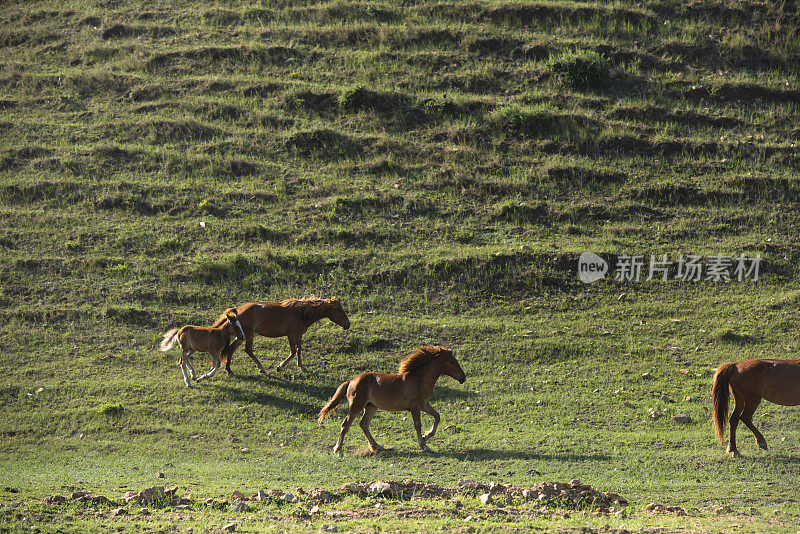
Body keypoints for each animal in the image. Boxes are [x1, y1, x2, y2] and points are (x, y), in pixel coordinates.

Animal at [212, 298, 350, 376]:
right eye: (339, 309)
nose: (347, 324)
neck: (301, 313)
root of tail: (234, 312)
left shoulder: (299, 335)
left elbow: (299, 350)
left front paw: (301, 367)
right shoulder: (291, 334)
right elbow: (293, 351)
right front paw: (280, 366)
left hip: (242, 336)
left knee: (231, 349)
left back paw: (229, 370)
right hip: (248, 334)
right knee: (248, 349)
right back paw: (261, 368)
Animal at [318, 350, 466, 458]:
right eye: (452, 362)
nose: (463, 378)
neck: (419, 379)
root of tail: (352, 381)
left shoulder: (424, 405)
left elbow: (437, 416)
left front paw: (426, 436)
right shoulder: (415, 407)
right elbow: (418, 425)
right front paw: (424, 445)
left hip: (371, 407)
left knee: (363, 424)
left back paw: (376, 446)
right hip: (356, 406)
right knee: (345, 425)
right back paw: (339, 451)